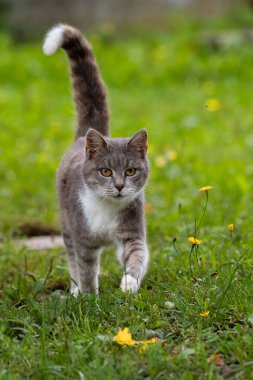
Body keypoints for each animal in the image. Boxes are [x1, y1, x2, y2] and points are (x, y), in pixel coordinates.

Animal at [43, 25, 149, 296]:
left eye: (131, 171)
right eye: (105, 171)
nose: (120, 186)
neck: (106, 208)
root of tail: (84, 135)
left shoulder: (131, 231)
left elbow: (137, 255)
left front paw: (129, 283)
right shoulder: (82, 236)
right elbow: (85, 268)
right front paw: (89, 296)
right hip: (66, 222)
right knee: (72, 259)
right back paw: (74, 291)